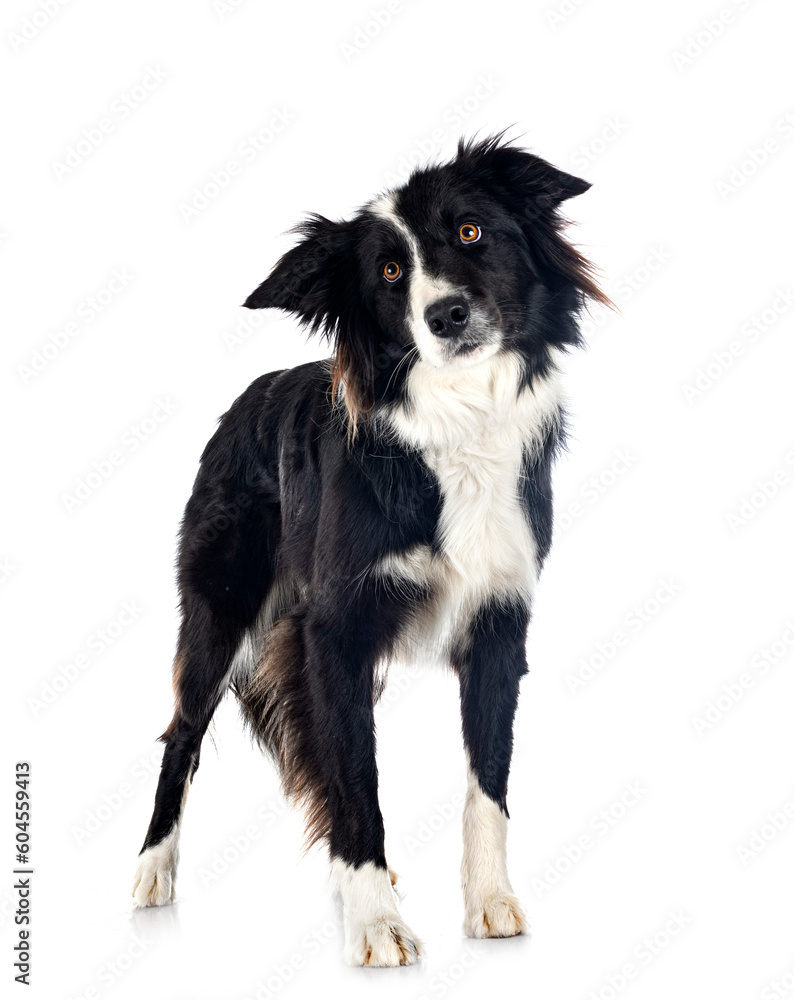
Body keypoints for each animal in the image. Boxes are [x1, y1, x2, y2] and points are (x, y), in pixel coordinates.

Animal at [133, 137, 608, 964]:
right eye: (388, 272)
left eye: (471, 231)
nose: (446, 314)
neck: (457, 422)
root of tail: (243, 400)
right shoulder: (336, 634)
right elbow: (355, 780)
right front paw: (377, 923)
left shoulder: (499, 621)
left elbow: (487, 781)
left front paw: (489, 903)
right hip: (218, 612)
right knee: (180, 735)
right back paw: (152, 871)